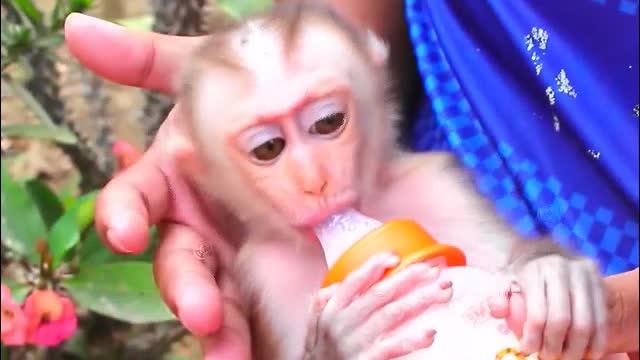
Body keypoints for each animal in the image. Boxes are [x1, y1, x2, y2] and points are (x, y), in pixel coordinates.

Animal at [172, 2, 608, 360]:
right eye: (267, 148)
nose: (315, 182)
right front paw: (343, 338)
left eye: (327, 122)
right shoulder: (263, 275)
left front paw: (551, 273)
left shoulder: (442, 183)